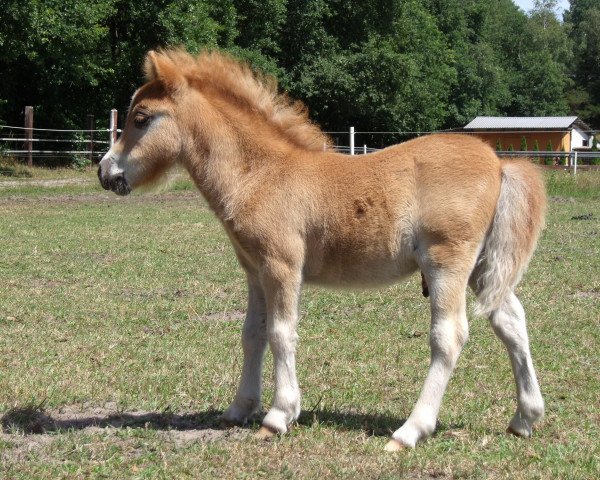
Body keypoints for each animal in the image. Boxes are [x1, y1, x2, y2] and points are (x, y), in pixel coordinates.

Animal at [99, 48, 548, 450]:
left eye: (140, 118)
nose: (106, 172)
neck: (259, 174)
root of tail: (499, 163)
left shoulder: (281, 266)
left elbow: (281, 334)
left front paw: (278, 416)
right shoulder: (254, 271)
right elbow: (252, 334)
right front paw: (239, 408)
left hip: (447, 262)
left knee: (449, 336)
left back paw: (409, 432)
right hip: (482, 267)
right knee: (511, 322)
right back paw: (524, 419)